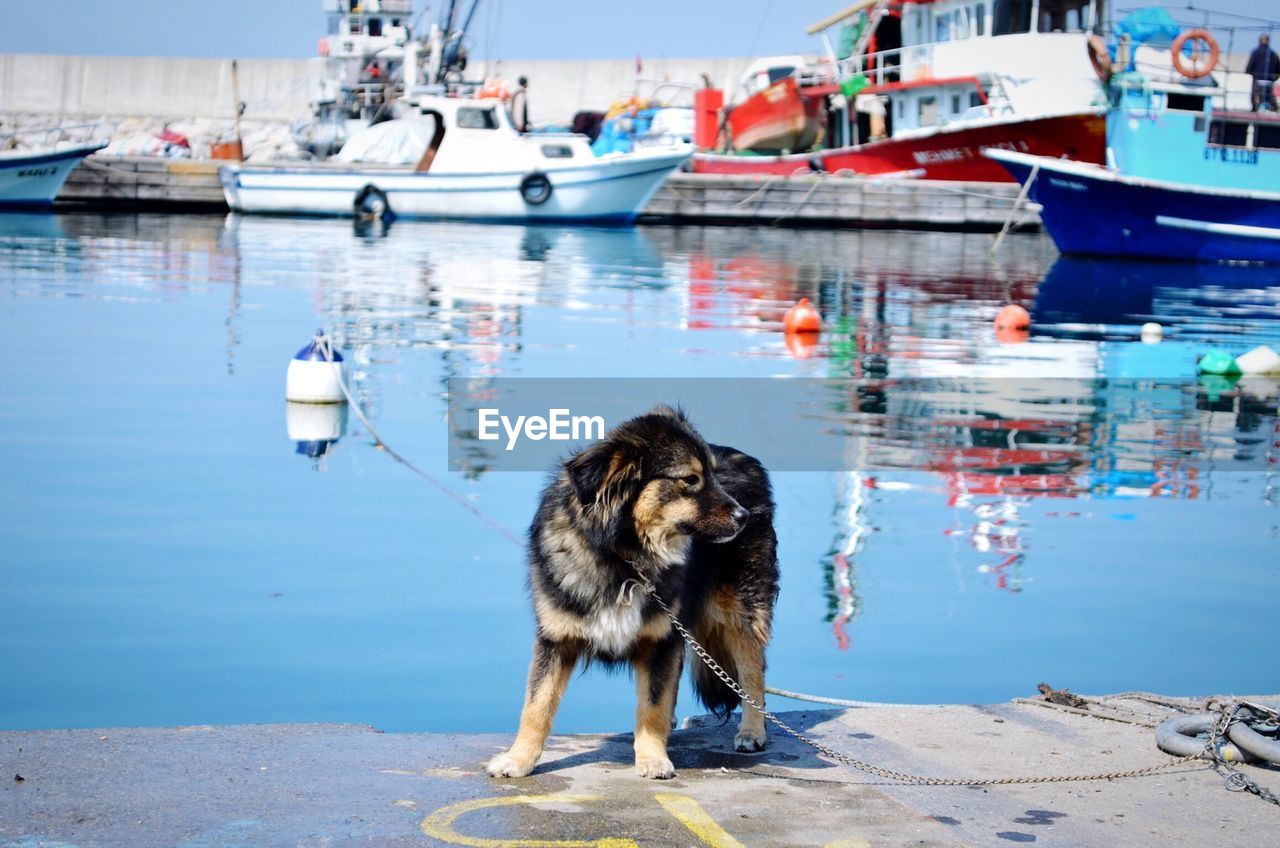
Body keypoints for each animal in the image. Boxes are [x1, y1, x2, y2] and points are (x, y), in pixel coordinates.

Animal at [483, 407, 773, 783]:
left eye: (711, 475)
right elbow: (536, 705)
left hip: (738, 610)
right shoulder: (556, 637)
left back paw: (752, 731)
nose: (744, 516)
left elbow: (652, 705)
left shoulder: (660, 636)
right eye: (690, 479)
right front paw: (518, 759)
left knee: (752, 672)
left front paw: (652, 758)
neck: (624, 556)